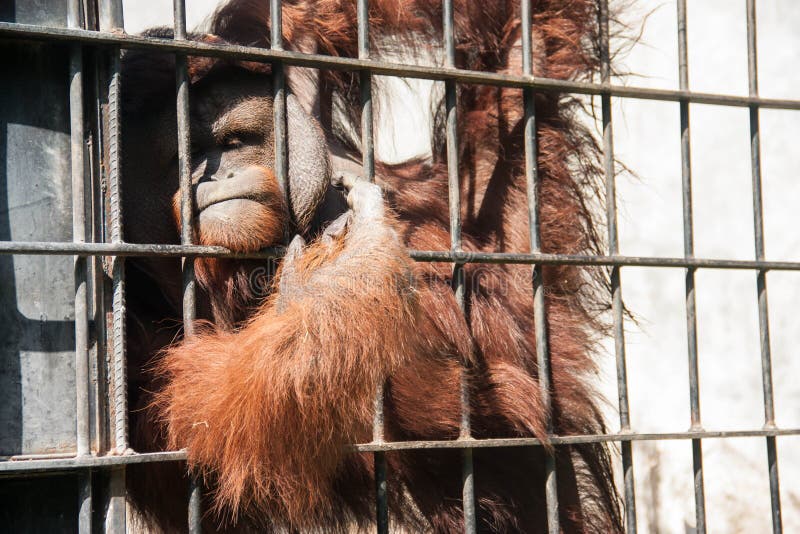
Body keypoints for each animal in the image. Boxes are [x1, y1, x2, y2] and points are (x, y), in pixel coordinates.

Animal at [119, 1, 623, 532]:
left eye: (233, 141)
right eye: (185, 158)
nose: (217, 176)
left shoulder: (284, 49)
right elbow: (193, 405)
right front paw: (331, 282)